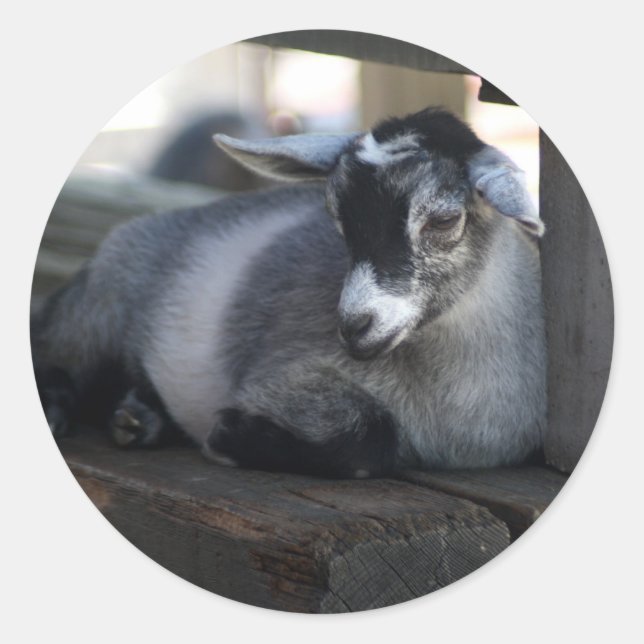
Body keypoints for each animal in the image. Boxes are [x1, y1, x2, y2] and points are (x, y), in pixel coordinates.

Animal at [31, 107, 546, 478]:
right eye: (336, 216)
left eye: (443, 219)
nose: (354, 326)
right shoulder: (284, 376)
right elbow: (372, 438)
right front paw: (229, 436)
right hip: (99, 306)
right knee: (55, 356)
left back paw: (139, 419)